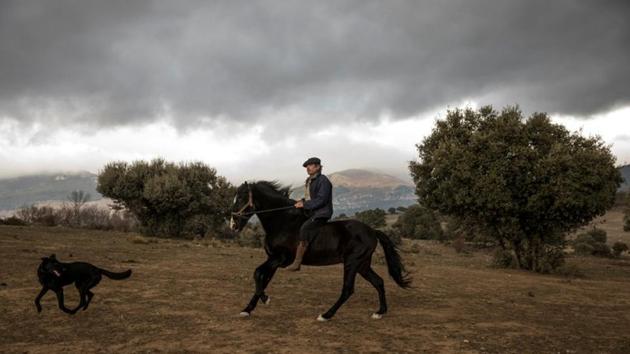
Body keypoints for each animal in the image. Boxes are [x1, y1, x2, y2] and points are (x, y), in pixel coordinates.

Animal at [230, 180, 412, 320]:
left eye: (241, 198)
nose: (233, 225)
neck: (282, 221)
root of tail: (372, 231)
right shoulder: (273, 260)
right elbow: (262, 278)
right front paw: (247, 309)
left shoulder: (280, 259)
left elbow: (257, 274)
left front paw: (265, 299)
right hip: (363, 264)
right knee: (379, 282)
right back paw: (380, 312)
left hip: (352, 263)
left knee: (348, 289)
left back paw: (326, 315)